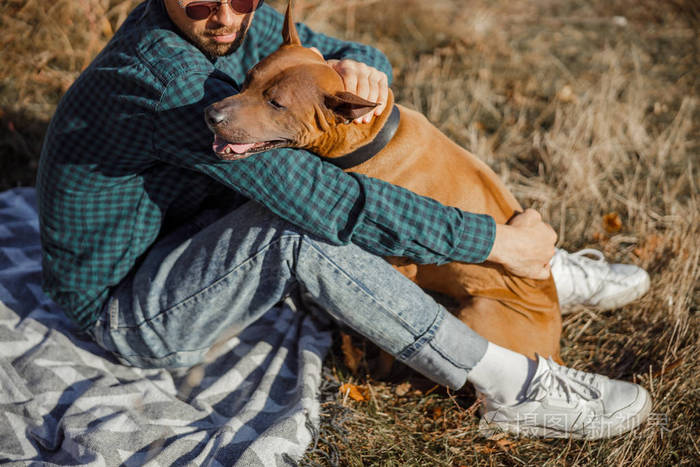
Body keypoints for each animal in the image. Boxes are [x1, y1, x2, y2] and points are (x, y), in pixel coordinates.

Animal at [204, 1, 564, 364]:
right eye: (249, 78)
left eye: (276, 103)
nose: (211, 115)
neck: (373, 139)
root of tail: (554, 347)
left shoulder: (401, 269)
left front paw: (375, 365)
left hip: (480, 311)